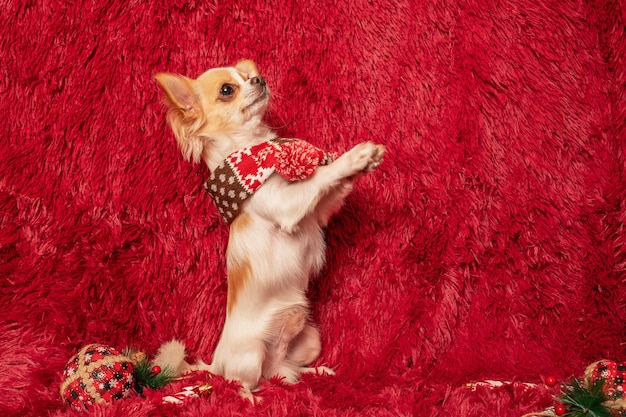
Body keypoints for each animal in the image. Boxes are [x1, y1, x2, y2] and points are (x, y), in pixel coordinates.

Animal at [154, 58, 382, 396]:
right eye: (227, 90)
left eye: (249, 76)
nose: (259, 80)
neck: (258, 152)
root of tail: (214, 363)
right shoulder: (289, 206)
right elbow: (322, 177)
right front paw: (353, 157)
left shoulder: (317, 213)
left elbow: (332, 189)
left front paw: (363, 162)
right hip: (251, 355)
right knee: (238, 382)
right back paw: (252, 398)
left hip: (309, 341)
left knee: (285, 371)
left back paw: (315, 372)